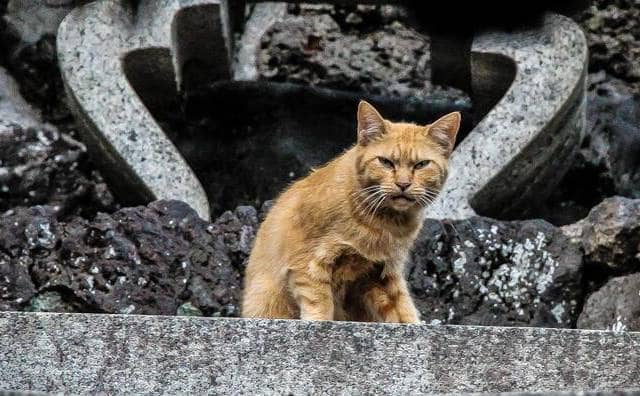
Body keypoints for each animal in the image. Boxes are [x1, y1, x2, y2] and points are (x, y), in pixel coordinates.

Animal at [241, 101, 460, 322]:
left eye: (421, 164)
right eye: (386, 162)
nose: (403, 184)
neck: (384, 223)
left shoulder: (384, 271)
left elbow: (403, 308)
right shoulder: (308, 261)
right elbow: (319, 301)